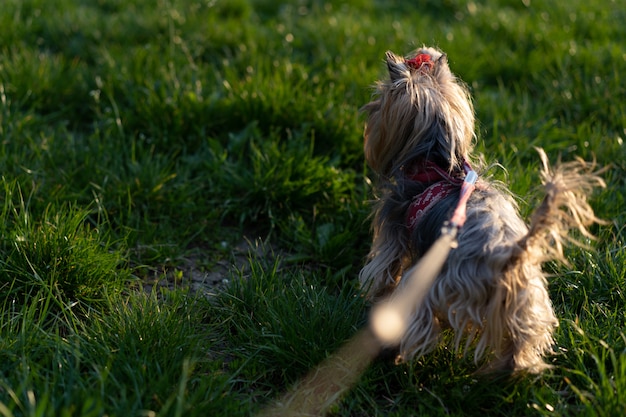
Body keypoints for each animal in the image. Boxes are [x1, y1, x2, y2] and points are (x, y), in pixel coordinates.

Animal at [358, 47, 604, 372]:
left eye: (380, 101)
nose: (369, 109)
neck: (434, 160)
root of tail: (508, 256)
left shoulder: (392, 230)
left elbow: (385, 270)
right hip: (527, 298)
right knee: (523, 338)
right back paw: (508, 370)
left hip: (433, 283)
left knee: (416, 320)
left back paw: (392, 353)